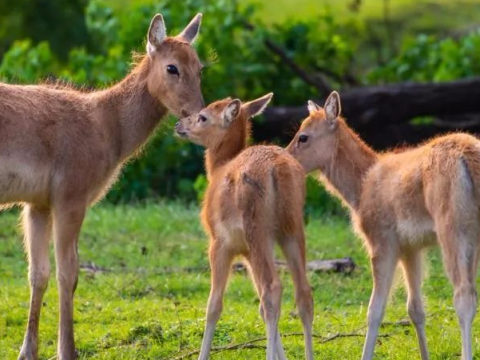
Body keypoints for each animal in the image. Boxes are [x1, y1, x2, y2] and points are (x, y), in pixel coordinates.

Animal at [0, 12, 204, 358]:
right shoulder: (72, 192)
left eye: (201, 66)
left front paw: (27, 352)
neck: (110, 132)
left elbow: (38, 273)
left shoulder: (37, 201)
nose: (200, 115)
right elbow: (69, 273)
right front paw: (67, 350)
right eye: (172, 67)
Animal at [176, 94, 316, 358]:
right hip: (292, 227)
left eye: (203, 116)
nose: (179, 124)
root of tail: (278, 169)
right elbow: (259, 306)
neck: (218, 168)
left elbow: (214, 305)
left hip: (256, 227)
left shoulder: (220, 242)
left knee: (273, 288)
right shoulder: (247, 252)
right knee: (303, 292)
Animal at [286, 90, 480, 360]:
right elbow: (415, 309)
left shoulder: (380, 239)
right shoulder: (410, 247)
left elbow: (374, 310)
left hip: (453, 226)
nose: (285, 159)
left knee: (463, 297)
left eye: (303, 136)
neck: (359, 190)